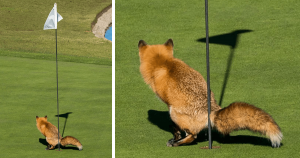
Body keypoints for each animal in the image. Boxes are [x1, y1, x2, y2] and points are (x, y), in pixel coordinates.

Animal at [138, 39, 284, 148]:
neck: (164, 63)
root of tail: (212, 111)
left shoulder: (169, 105)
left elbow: (176, 127)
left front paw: (175, 135)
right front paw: (175, 134)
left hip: (174, 113)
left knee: (193, 136)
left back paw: (177, 143)